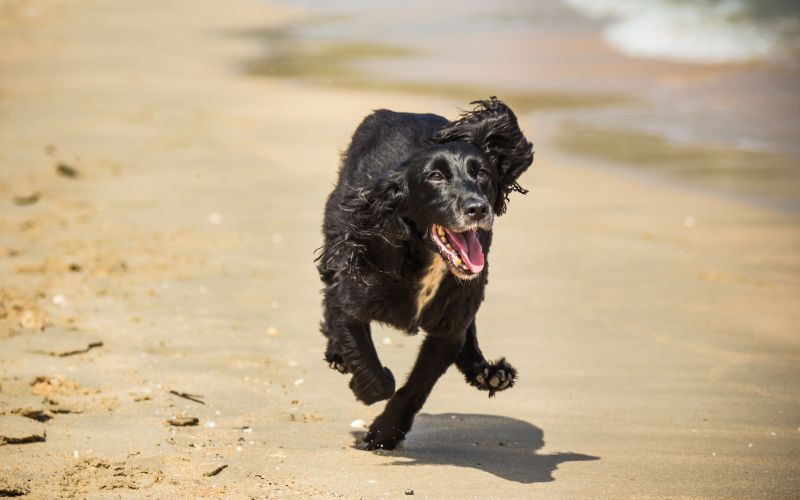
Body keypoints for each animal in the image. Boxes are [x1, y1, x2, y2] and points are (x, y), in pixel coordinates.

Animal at [316, 96, 536, 450]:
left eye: (483, 173)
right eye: (435, 176)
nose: (478, 208)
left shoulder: (448, 327)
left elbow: (415, 387)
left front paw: (384, 434)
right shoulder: (350, 302)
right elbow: (372, 369)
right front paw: (364, 390)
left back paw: (487, 372)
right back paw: (337, 355)